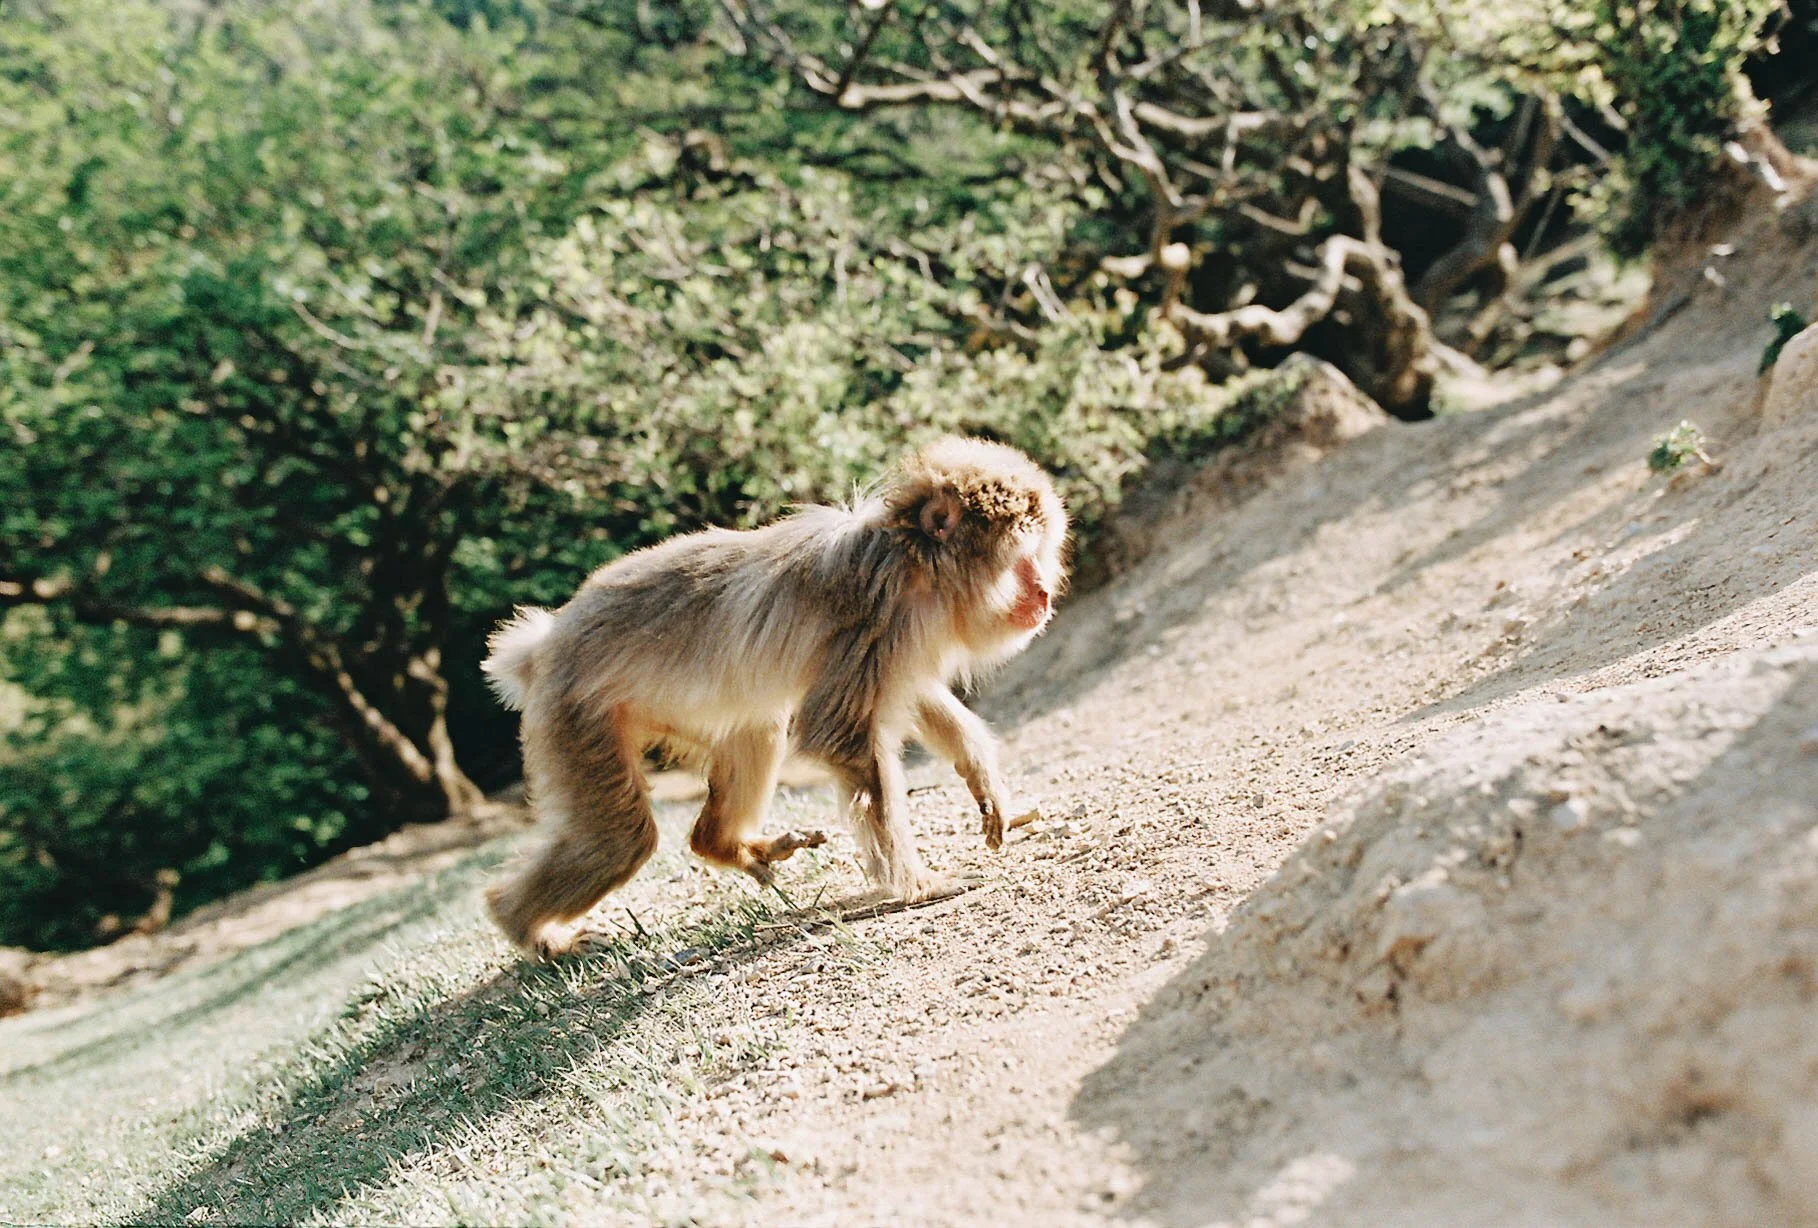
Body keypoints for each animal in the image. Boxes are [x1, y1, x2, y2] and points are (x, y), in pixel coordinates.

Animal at [480, 436, 1068, 958]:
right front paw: (919, 885)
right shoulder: (876, 611)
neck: (914, 561)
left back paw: (719, 843)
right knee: (619, 839)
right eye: (1022, 558)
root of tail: (541, 647)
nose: (1042, 592)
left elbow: (912, 696)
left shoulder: (903, 636)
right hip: (574, 717)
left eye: (1039, 554)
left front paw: (982, 775)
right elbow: (839, 736)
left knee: (756, 729)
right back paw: (528, 930)